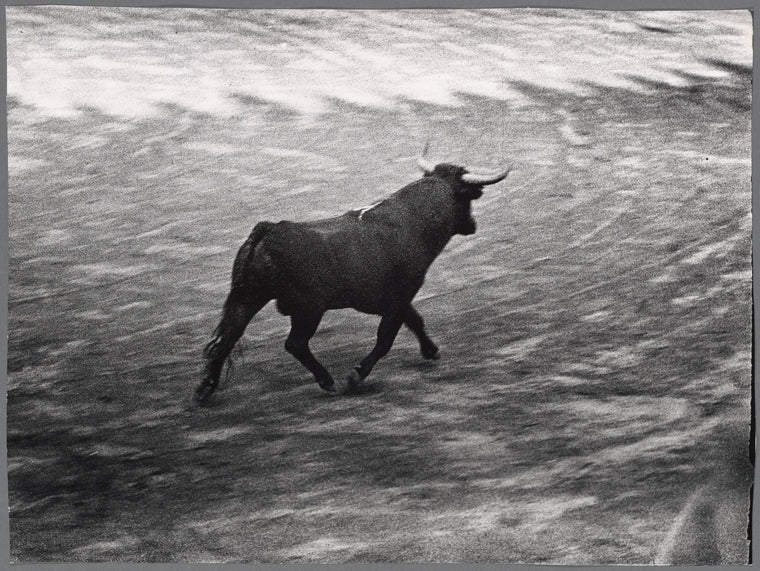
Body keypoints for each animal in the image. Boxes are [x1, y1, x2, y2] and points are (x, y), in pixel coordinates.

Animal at [195, 153, 511, 403]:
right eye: (469, 196)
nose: (472, 225)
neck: (412, 220)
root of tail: (270, 229)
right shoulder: (399, 296)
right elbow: (386, 338)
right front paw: (357, 375)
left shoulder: (395, 299)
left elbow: (415, 320)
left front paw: (431, 350)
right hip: (308, 309)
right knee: (294, 343)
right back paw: (328, 381)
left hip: (247, 298)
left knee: (227, 338)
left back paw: (204, 388)